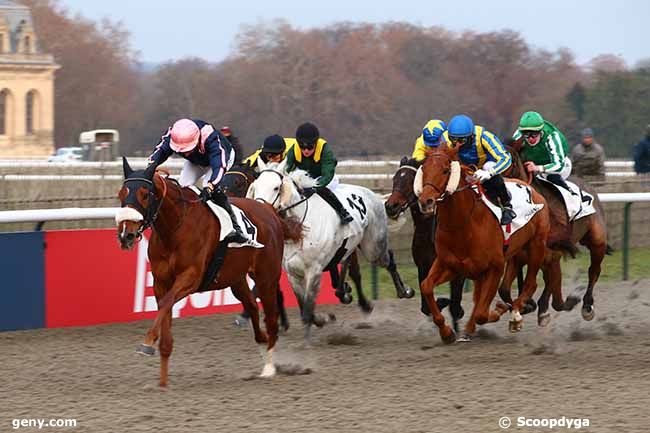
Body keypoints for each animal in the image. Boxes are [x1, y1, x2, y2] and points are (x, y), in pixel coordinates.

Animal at [116, 158, 302, 384]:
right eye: (121, 193)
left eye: (144, 194)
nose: (126, 235)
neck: (175, 228)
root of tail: (269, 209)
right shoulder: (161, 281)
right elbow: (164, 310)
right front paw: (162, 382)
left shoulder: (191, 277)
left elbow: (167, 302)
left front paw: (147, 342)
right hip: (236, 279)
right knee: (252, 307)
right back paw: (262, 341)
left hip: (266, 277)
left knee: (271, 319)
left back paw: (269, 367)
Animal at [246, 157, 412, 340]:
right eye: (256, 186)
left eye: (276, 187)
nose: (258, 212)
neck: (299, 229)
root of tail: (373, 195)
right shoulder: (292, 273)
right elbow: (303, 306)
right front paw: (321, 319)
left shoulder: (314, 271)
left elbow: (307, 309)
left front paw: (316, 327)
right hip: (351, 245)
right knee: (348, 263)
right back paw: (346, 293)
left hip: (373, 248)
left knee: (388, 261)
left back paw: (404, 291)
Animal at [416, 147, 548, 342]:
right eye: (424, 169)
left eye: (446, 171)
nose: (426, 201)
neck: (463, 224)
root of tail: (531, 188)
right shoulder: (451, 265)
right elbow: (426, 286)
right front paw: (447, 332)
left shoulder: (495, 267)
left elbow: (481, 313)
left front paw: (500, 310)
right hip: (514, 253)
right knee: (499, 289)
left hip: (536, 246)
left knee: (530, 284)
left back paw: (515, 316)